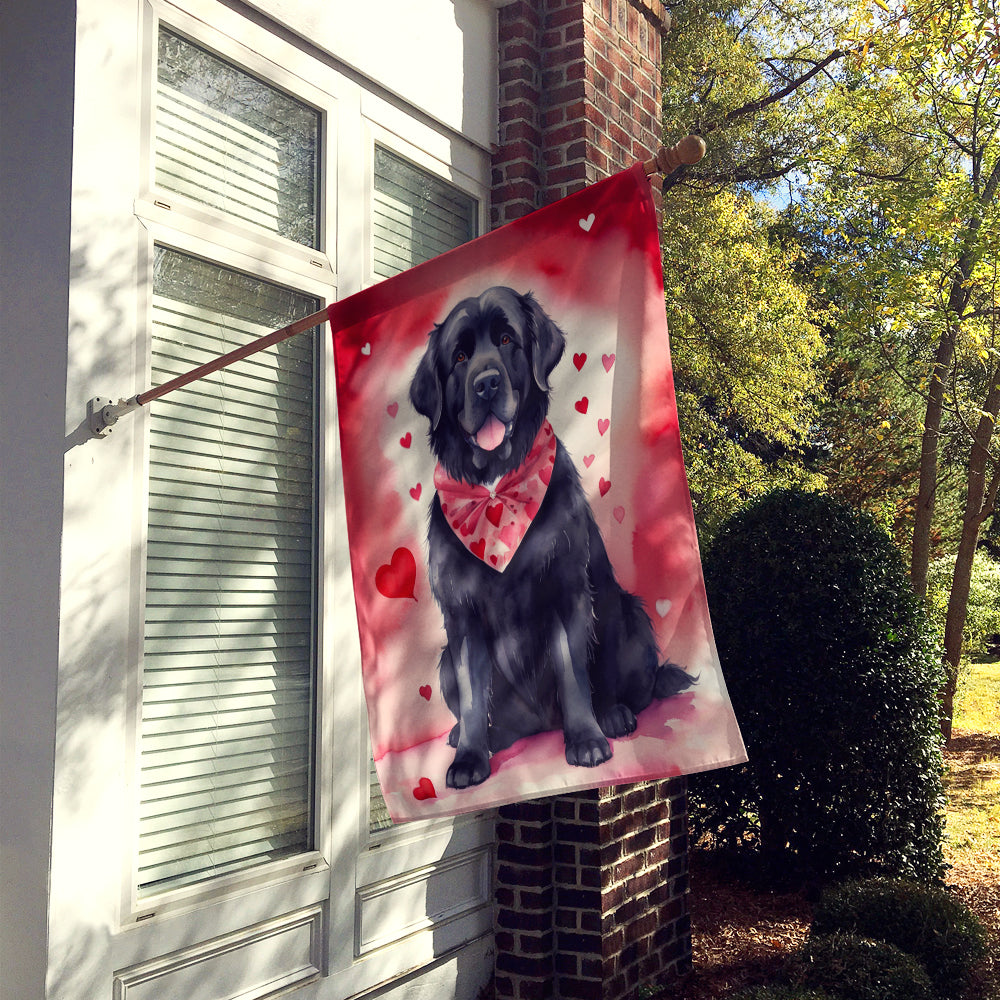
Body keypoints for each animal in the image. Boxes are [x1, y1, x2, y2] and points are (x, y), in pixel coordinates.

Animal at [410, 284, 692, 788]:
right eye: (459, 356)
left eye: (507, 340)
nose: (486, 384)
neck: (496, 488)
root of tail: (540, 723)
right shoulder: (461, 619)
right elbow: (472, 693)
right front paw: (469, 757)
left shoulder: (566, 593)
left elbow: (571, 672)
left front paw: (586, 740)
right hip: (442, 660)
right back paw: (479, 735)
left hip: (629, 614)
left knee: (626, 687)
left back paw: (613, 715)